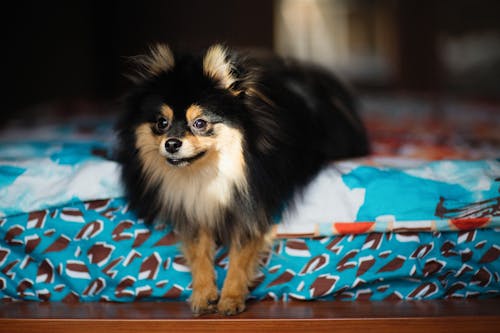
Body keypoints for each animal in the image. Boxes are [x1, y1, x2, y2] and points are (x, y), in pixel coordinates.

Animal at [115, 43, 370, 314]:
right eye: (162, 123)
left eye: (200, 123)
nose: (171, 144)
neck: (209, 176)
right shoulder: (194, 209)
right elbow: (199, 250)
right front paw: (204, 293)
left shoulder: (253, 209)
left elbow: (240, 257)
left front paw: (231, 297)